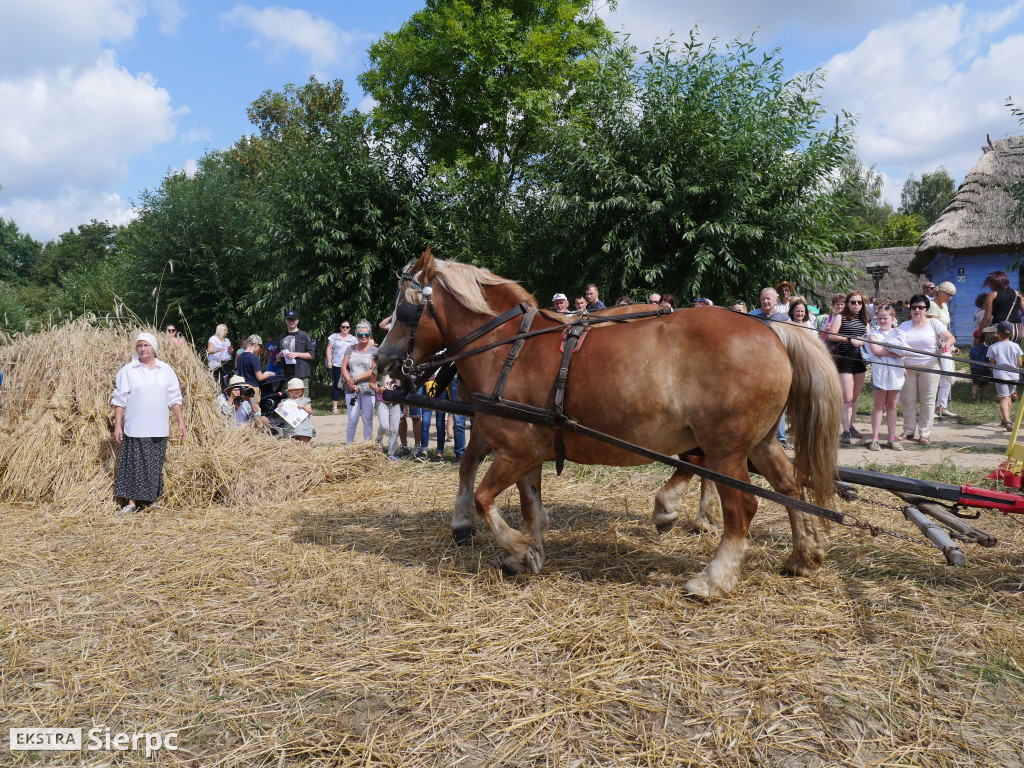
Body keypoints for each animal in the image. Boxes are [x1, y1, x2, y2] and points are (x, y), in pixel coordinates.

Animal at [376, 252, 839, 602]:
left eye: (404, 310)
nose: (382, 360)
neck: (509, 350)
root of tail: (771, 329)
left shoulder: (516, 450)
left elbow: (485, 499)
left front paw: (518, 550)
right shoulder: (526, 450)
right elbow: (529, 503)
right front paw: (529, 551)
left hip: (725, 449)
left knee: (742, 506)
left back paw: (713, 579)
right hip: (759, 441)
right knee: (789, 485)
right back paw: (804, 555)